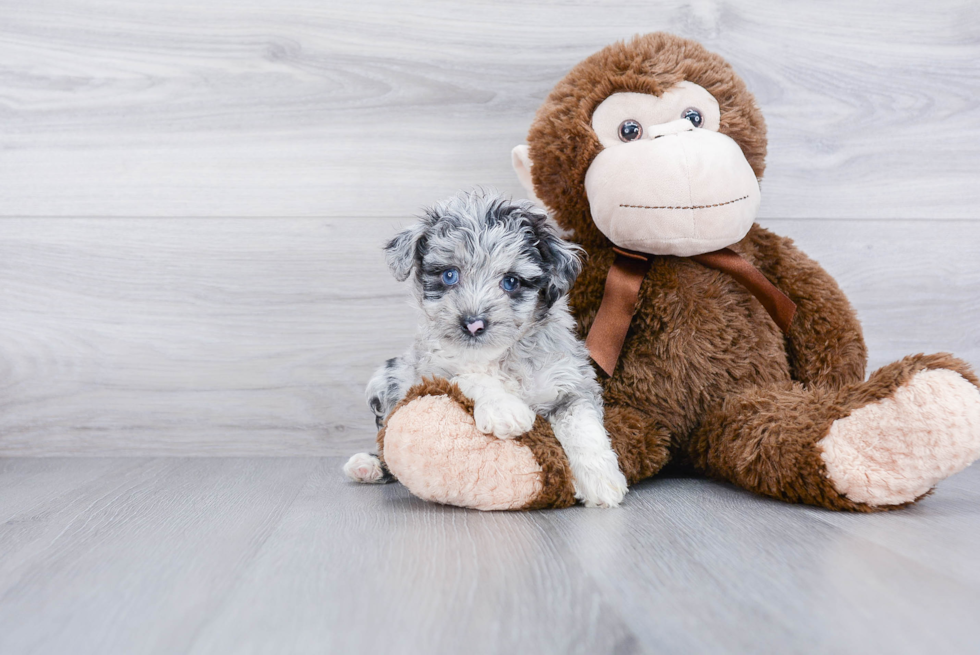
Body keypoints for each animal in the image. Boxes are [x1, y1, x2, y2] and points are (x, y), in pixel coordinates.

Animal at [344, 190, 628, 508]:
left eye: (511, 281)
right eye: (450, 275)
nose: (473, 324)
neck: (499, 355)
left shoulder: (571, 380)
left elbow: (583, 424)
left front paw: (600, 480)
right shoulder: (433, 370)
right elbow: (471, 377)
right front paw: (506, 410)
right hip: (387, 377)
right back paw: (367, 465)